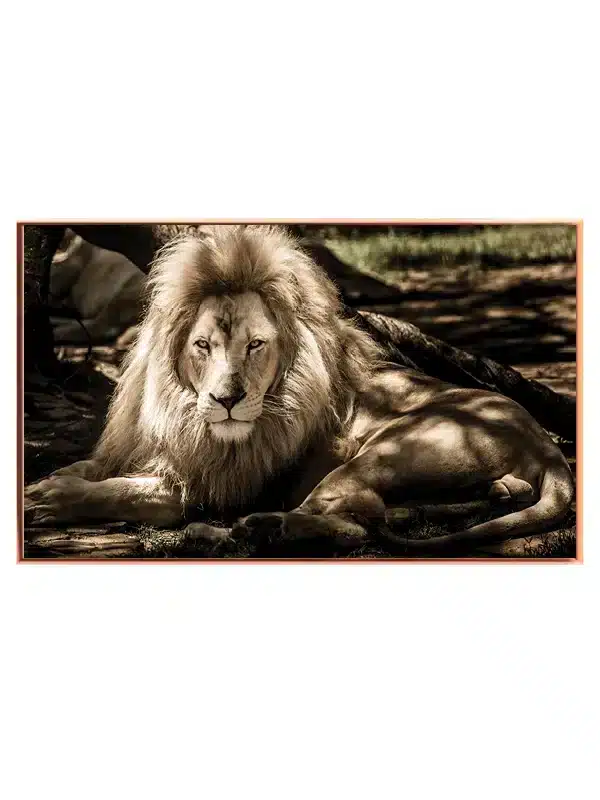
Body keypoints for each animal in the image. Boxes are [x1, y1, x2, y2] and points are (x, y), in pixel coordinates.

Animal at [25, 225, 575, 555]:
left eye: (256, 345)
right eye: (203, 345)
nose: (227, 400)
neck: (180, 411)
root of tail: (545, 445)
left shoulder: (208, 485)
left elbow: (125, 492)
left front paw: (49, 499)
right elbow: (92, 468)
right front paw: (50, 481)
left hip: (386, 450)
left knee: (353, 524)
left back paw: (241, 530)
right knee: (378, 513)